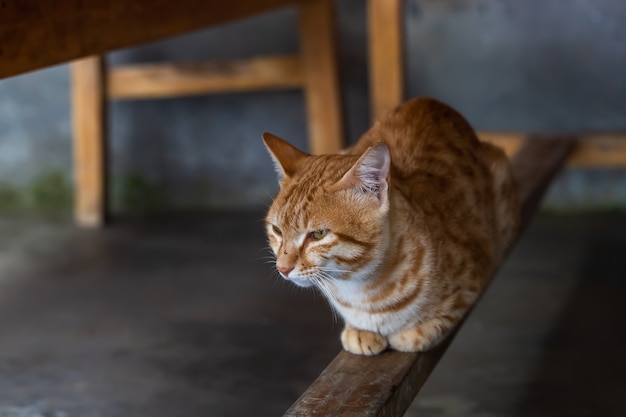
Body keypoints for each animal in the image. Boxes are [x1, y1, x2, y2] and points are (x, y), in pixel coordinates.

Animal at [262, 96, 516, 354]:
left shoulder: (478, 270)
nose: (282, 268)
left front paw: (416, 331)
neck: (361, 290)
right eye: (277, 230)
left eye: (318, 234)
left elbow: (442, 316)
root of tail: (430, 101)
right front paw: (358, 330)